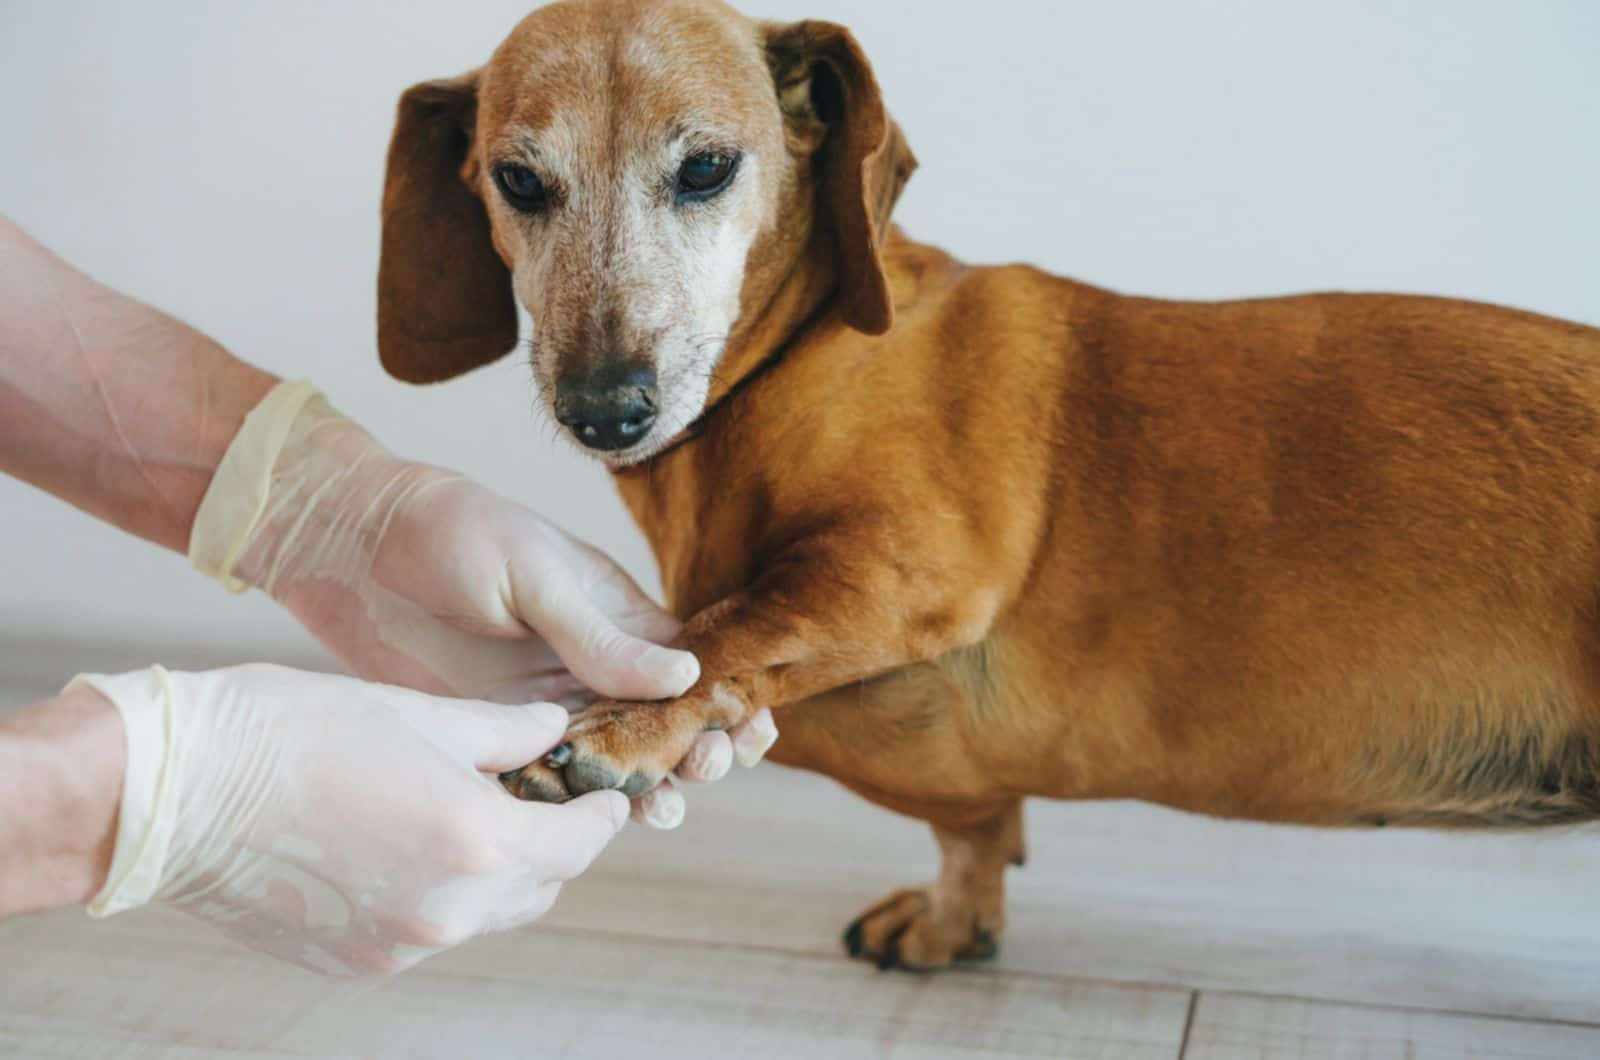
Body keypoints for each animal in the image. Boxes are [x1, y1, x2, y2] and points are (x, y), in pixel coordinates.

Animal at [371, 0, 1600, 973]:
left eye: (708, 167)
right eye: (518, 181)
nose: (606, 408)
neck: (792, 363)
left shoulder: (909, 562)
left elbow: (729, 628)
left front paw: (628, 723)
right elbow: (969, 827)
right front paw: (956, 915)